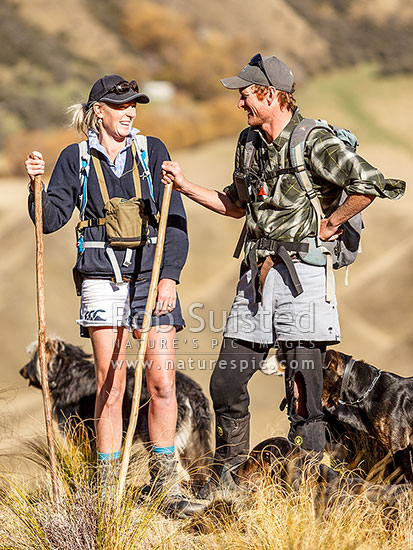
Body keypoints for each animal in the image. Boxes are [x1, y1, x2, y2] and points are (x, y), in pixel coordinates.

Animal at [20, 336, 212, 484]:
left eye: (32, 357)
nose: (22, 371)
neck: (67, 374)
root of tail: (192, 392)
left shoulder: (81, 434)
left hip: (155, 431)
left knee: (179, 470)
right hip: (193, 440)